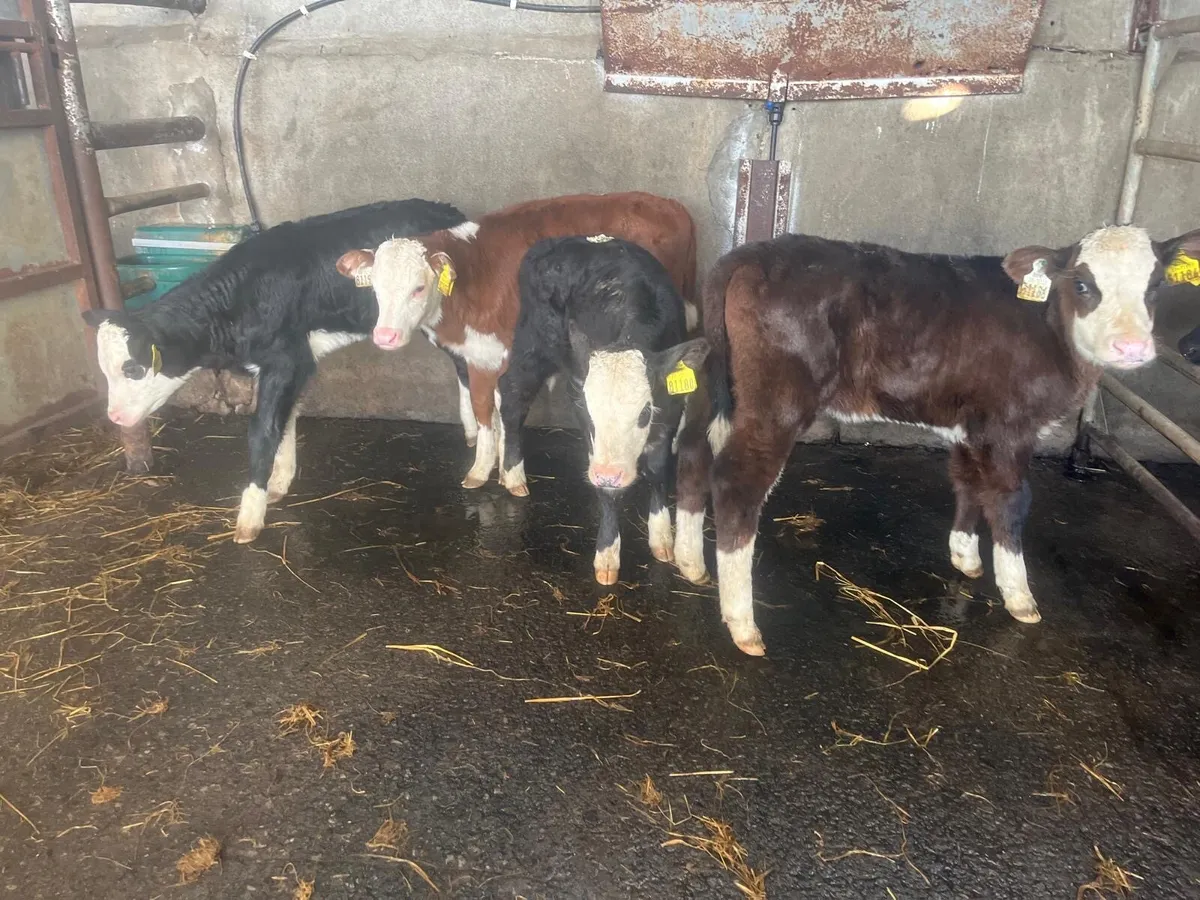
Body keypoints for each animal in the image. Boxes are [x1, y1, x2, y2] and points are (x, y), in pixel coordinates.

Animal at [82, 199, 467, 544]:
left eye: (132, 368)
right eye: (104, 370)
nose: (114, 417)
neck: (237, 303)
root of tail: (446, 209)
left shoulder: (286, 360)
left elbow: (263, 431)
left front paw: (250, 516)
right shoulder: (283, 366)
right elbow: (285, 420)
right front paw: (279, 483)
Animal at [334, 192, 697, 493]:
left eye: (418, 288)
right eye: (375, 288)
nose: (385, 336)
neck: (472, 275)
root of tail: (669, 204)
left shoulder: (498, 356)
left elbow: (498, 407)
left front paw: (497, 472)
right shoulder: (477, 356)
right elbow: (488, 409)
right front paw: (491, 464)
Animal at [500, 235, 707, 584]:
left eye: (644, 412)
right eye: (588, 412)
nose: (608, 474)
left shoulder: (670, 411)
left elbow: (658, 469)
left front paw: (661, 536)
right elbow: (609, 495)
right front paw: (607, 554)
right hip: (532, 343)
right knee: (512, 396)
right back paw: (512, 473)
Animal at [674, 225, 1200, 656]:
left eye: (1155, 286)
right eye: (1084, 284)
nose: (1131, 348)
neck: (1050, 328)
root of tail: (749, 254)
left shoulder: (972, 423)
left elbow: (968, 481)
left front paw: (965, 556)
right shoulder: (1009, 425)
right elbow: (1011, 500)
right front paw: (1019, 594)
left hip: (713, 384)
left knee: (693, 452)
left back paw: (688, 561)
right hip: (776, 402)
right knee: (737, 482)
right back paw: (742, 622)